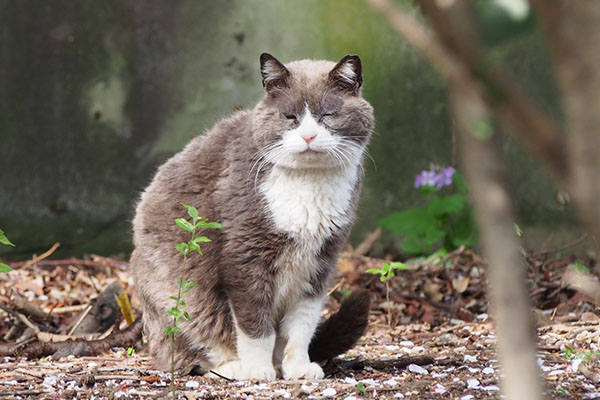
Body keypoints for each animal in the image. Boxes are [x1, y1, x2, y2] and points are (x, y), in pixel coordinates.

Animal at [131, 53, 372, 382]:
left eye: (328, 115)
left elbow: (302, 325)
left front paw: (297, 367)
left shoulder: (321, 261)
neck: (308, 185)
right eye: (289, 117)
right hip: (174, 293)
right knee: (184, 348)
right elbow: (255, 325)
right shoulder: (245, 256)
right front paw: (258, 370)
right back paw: (232, 367)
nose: (308, 135)